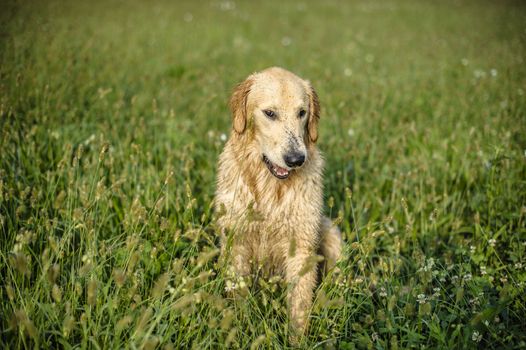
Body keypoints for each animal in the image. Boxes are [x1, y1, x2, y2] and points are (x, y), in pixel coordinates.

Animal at [214, 66, 342, 342]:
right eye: (270, 113)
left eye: (301, 113)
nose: (296, 159)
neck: (269, 188)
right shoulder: (237, 242)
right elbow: (239, 296)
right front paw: (240, 329)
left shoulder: (301, 247)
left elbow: (299, 305)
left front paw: (297, 341)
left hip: (330, 231)